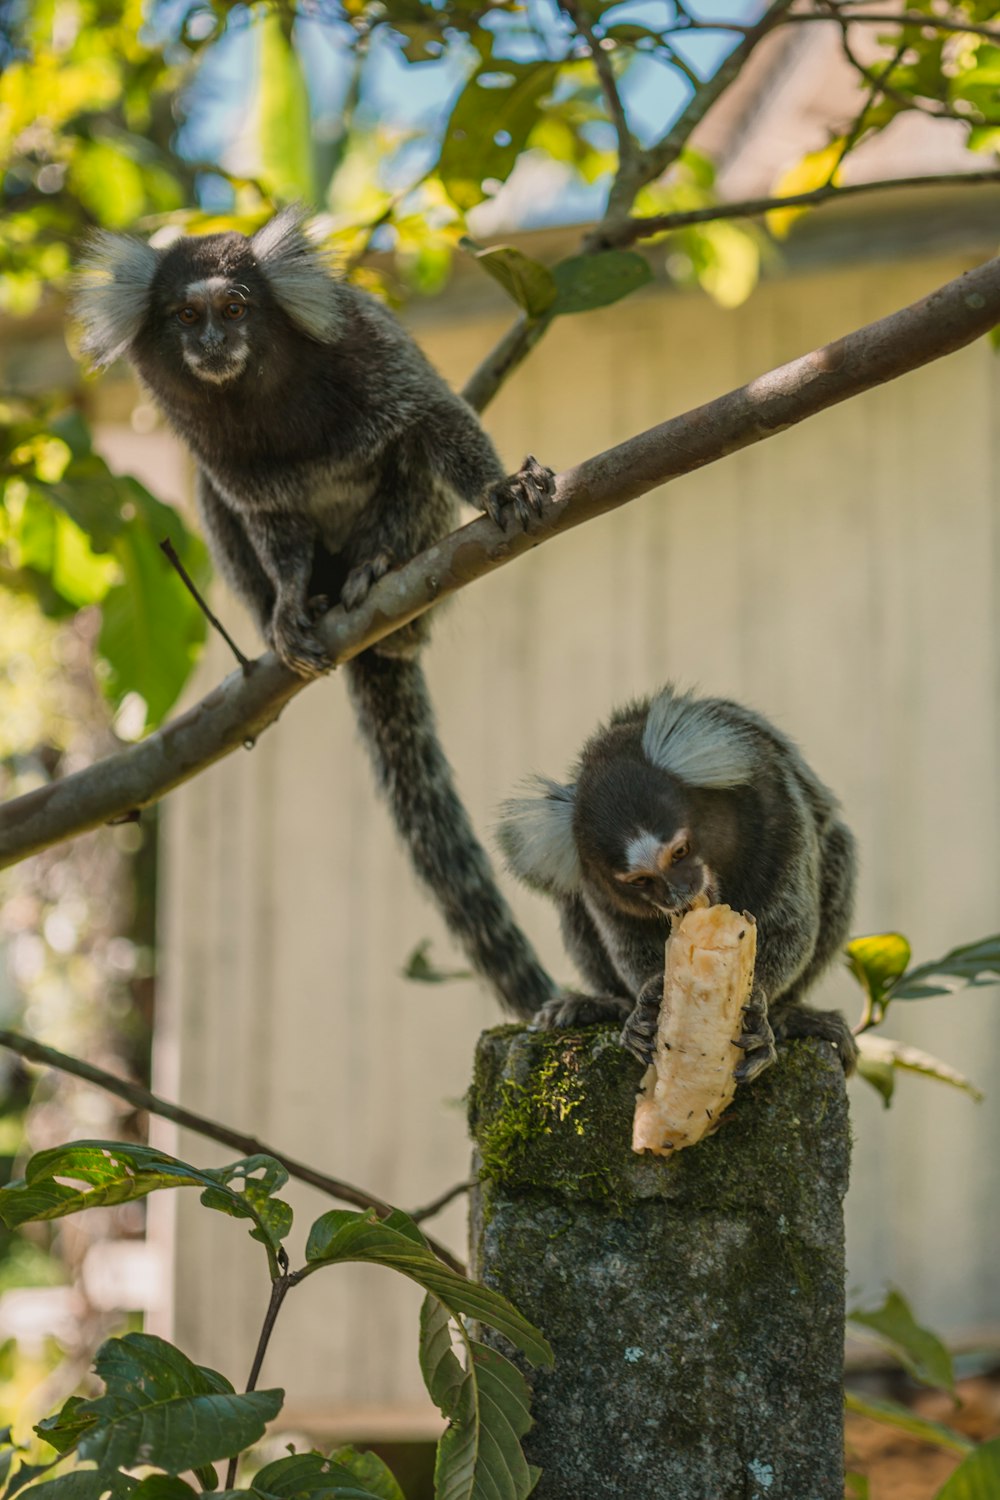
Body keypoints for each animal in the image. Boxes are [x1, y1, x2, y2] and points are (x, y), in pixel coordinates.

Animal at [74, 205, 560, 1014]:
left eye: (236, 308)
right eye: (186, 316)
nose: (212, 343)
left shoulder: (371, 350)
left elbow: (432, 420)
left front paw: (500, 488)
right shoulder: (233, 466)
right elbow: (268, 523)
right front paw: (293, 604)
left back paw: (381, 575)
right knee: (215, 505)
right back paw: (324, 600)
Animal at [500, 687, 863, 1086]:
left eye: (680, 852)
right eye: (640, 880)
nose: (678, 894)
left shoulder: (779, 810)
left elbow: (790, 927)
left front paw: (760, 1009)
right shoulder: (593, 882)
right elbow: (627, 943)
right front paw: (645, 1003)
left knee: (837, 849)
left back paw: (792, 1015)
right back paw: (605, 1003)